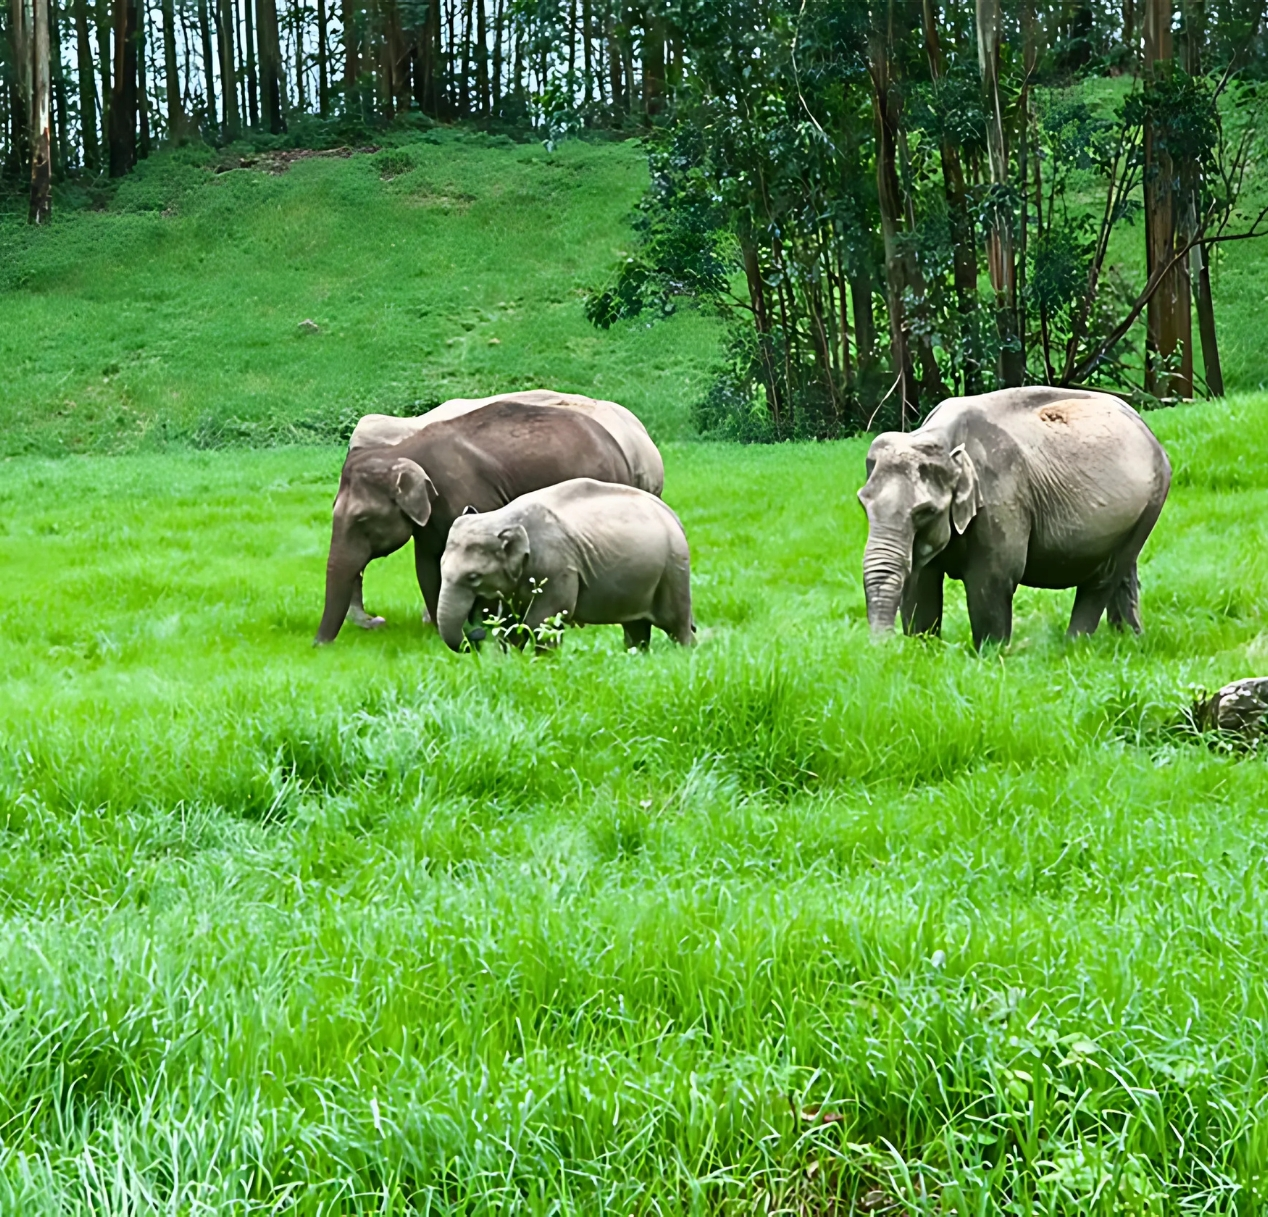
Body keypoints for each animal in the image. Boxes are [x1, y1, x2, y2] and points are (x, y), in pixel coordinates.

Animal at [313, 400, 639, 646]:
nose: (318, 645)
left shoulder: (468, 496)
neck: (401, 451)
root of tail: (619, 449)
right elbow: (428, 567)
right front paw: (441, 635)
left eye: (361, 519)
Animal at [436, 476, 694, 654]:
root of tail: (673, 516)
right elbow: (511, 622)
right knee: (636, 627)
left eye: (473, 577)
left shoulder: (558, 567)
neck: (503, 516)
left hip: (674, 567)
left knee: (676, 623)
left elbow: (543, 620)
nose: (476, 634)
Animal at [857, 387, 1171, 646]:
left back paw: (1073, 645)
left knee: (1103, 576)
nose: (885, 649)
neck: (937, 437)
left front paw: (990, 655)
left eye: (925, 512)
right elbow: (921, 584)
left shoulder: (1001, 497)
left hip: (1151, 504)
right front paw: (922, 649)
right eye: (863, 504)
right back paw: (1129, 639)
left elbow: (994, 578)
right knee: (1122, 574)